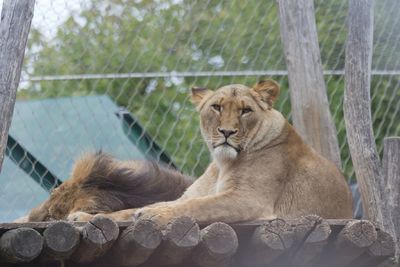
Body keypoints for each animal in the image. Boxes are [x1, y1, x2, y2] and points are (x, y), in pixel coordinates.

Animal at [22, 79, 354, 224]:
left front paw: (151, 213)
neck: (221, 164)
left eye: (245, 111)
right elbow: (126, 210)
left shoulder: (249, 200)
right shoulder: (185, 194)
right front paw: (85, 216)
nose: (227, 132)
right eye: (216, 107)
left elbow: (194, 208)